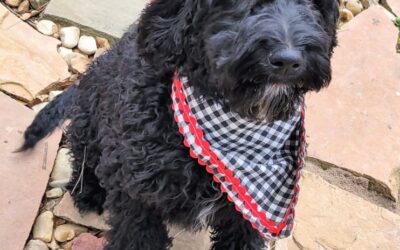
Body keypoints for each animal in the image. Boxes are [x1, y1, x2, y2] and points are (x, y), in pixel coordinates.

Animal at [21, 0, 338, 249]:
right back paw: (88, 191)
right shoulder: (136, 197)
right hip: (91, 121)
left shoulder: (246, 213)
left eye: (313, 4)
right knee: (85, 156)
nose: (288, 60)